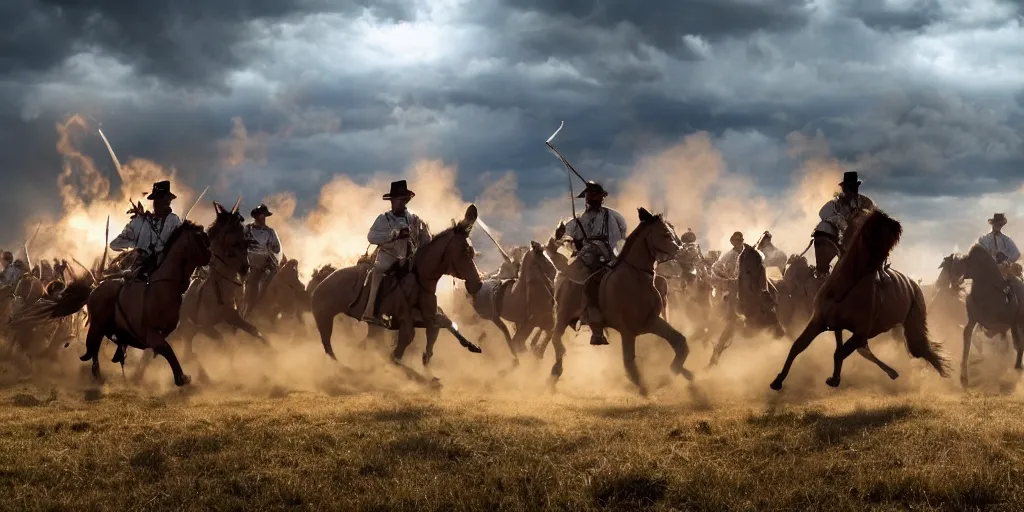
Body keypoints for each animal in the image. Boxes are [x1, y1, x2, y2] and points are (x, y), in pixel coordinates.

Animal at [309, 203, 485, 380]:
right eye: (465, 251)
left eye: (472, 252)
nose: (477, 284)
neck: (418, 281)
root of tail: (319, 285)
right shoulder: (405, 321)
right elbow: (400, 349)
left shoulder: (429, 317)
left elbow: (443, 326)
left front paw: (471, 346)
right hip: (325, 318)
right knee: (329, 347)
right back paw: (347, 369)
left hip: (364, 326)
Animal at [548, 207, 692, 395]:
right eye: (666, 233)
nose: (681, 252)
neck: (636, 277)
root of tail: (566, 278)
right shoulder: (627, 331)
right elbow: (629, 361)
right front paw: (646, 386)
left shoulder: (651, 322)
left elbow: (680, 342)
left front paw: (672, 374)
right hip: (563, 316)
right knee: (556, 339)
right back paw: (555, 372)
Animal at [770, 209, 950, 389]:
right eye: (818, 244)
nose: (881, 272)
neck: (844, 287)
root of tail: (913, 284)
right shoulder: (819, 322)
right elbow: (798, 346)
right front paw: (778, 380)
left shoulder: (860, 333)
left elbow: (839, 352)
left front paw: (834, 379)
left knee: (918, 350)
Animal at [942, 245, 1024, 385]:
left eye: (958, 265)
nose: (952, 282)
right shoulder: (974, 321)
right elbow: (969, 338)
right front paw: (964, 376)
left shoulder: (1001, 324)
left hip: (1019, 323)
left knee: (1018, 344)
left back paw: (1016, 366)